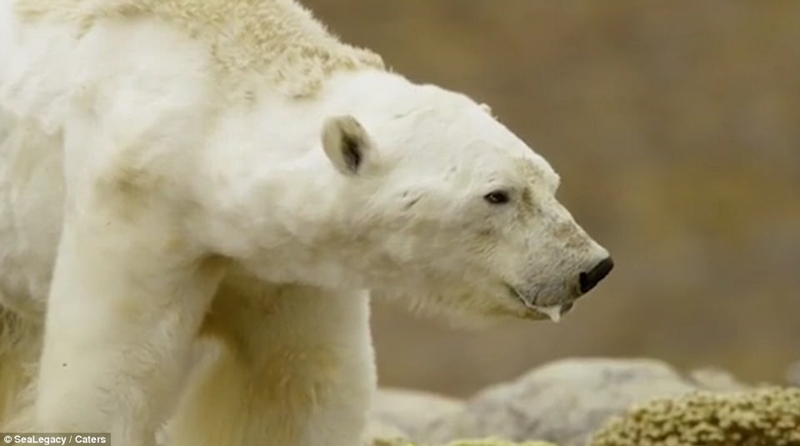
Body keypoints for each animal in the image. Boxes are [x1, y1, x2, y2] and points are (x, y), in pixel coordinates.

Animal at [0, 0, 612, 446]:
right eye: (497, 195)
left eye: (550, 180)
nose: (591, 267)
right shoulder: (136, 206)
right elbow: (105, 380)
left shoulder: (284, 263)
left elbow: (296, 385)